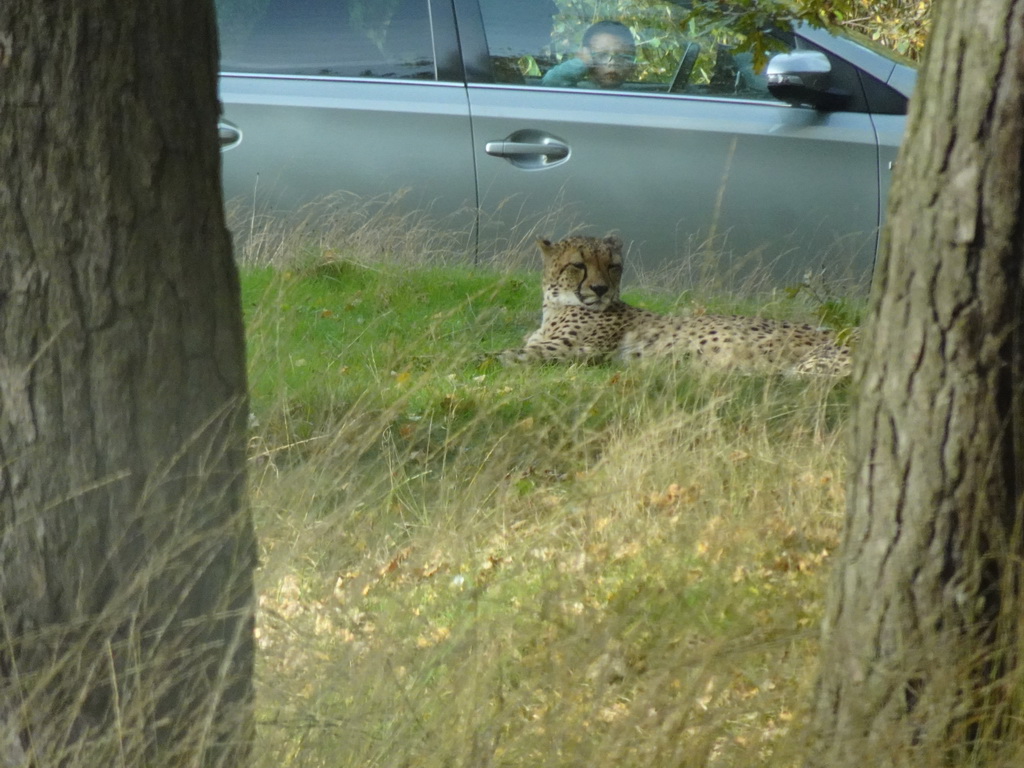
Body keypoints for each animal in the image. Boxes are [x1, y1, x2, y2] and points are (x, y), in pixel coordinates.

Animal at [499, 236, 851, 376]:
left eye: (612, 266)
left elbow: (506, 355)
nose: (600, 290)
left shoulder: (573, 350)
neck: (555, 305)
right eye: (578, 265)